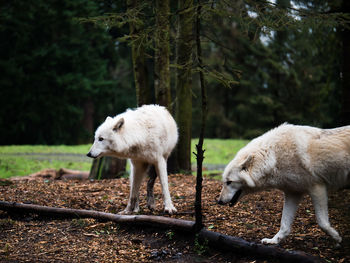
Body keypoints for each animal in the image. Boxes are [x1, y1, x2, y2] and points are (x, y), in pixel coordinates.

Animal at [217, 125, 348, 246]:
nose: (219, 201)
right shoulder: (292, 193)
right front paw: (273, 241)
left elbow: (322, 223)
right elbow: (284, 224)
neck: (274, 156)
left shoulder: (317, 187)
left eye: (229, 182)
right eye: (224, 182)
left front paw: (337, 238)